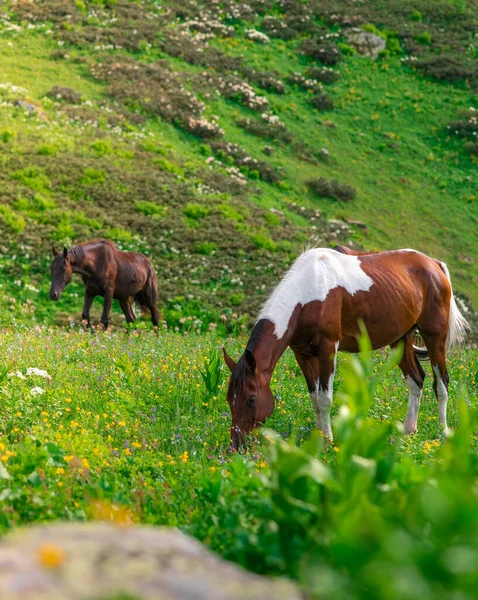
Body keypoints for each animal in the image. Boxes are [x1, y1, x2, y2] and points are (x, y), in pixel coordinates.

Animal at [224, 246, 470, 448]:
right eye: (229, 399)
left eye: (251, 398)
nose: (237, 445)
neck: (309, 293)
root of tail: (434, 264)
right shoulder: (302, 355)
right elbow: (314, 399)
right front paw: (320, 438)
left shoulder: (328, 350)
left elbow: (325, 399)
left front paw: (328, 442)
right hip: (401, 340)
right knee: (416, 380)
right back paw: (409, 431)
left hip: (434, 336)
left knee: (441, 383)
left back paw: (442, 433)